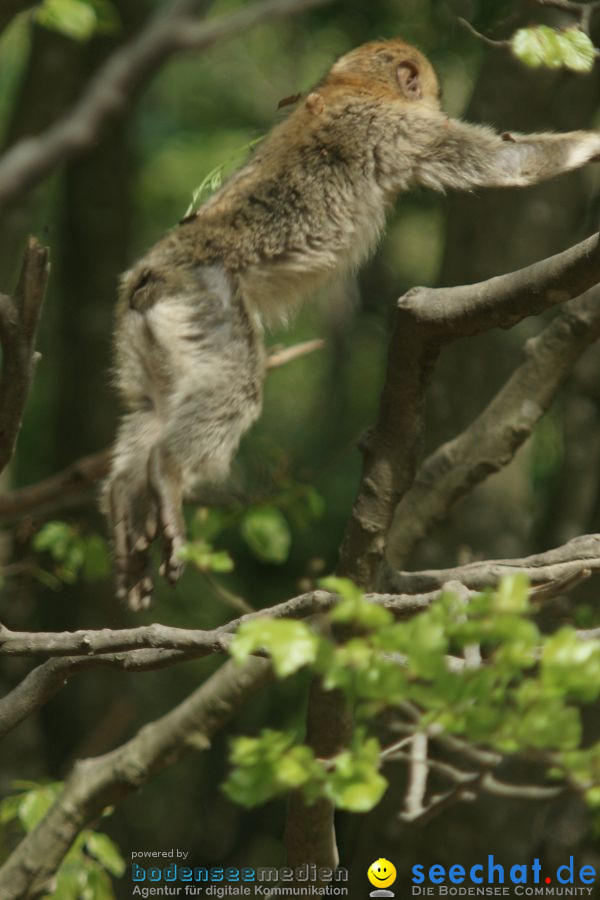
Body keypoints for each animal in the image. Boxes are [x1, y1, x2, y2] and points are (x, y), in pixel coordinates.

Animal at [103, 37, 600, 612]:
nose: (433, 99)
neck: (354, 85)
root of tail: (150, 274)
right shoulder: (401, 126)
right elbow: (504, 162)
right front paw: (591, 144)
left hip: (142, 334)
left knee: (149, 407)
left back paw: (125, 503)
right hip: (209, 299)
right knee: (232, 390)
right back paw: (165, 471)